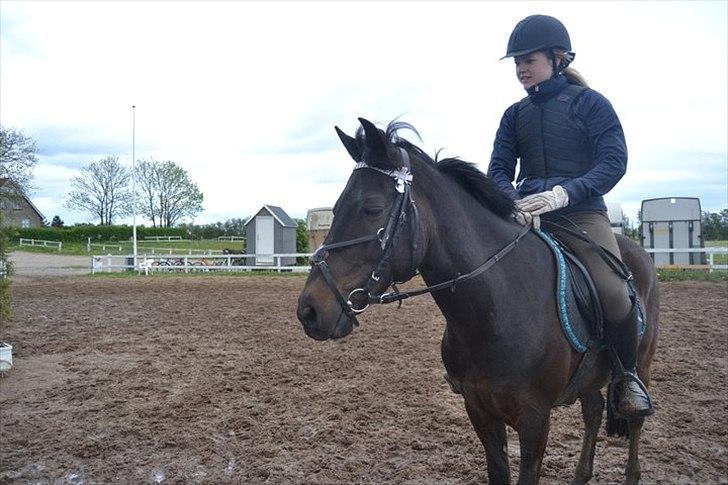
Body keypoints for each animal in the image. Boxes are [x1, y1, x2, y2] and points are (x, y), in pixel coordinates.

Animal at [296, 118, 660, 484]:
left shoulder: (535, 420)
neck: (495, 309)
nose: (309, 311)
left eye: (372, 209)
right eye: (336, 208)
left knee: (635, 421)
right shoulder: (480, 411)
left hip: (641, 364)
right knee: (594, 411)